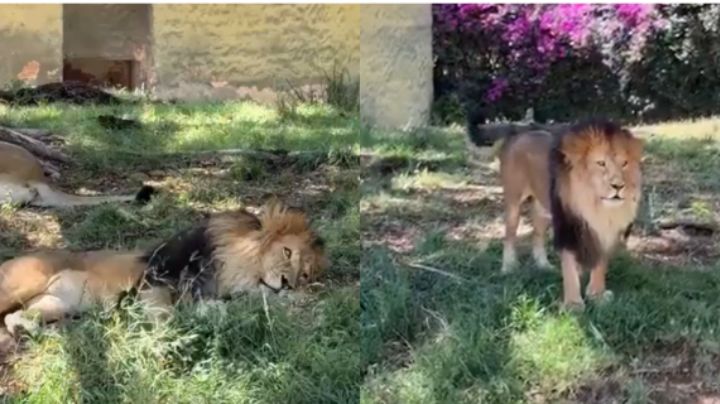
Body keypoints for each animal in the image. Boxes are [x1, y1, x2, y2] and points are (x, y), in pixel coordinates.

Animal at [0, 201, 329, 335]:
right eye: (286, 251)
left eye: (305, 274)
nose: (287, 283)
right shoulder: (154, 278)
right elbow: (164, 313)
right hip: (21, 285)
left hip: (55, 304)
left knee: (12, 317)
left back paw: (26, 330)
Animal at [496, 120, 643, 308]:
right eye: (601, 163)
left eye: (624, 163)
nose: (618, 186)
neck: (597, 207)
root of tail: (518, 134)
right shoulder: (567, 227)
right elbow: (569, 267)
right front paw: (573, 304)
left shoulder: (605, 231)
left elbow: (600, 265)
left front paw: (597, 295)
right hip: (514, 202)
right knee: (509, 236)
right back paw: (508, 268)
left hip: (543, 209)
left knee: (537, 236)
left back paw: (544, 266)